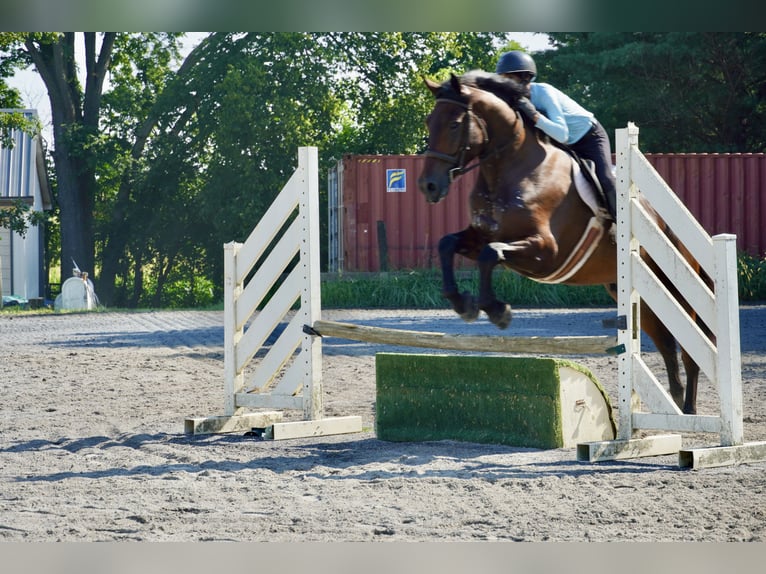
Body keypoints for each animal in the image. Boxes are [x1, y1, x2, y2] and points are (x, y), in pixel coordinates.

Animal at [417, 70, 709, 415]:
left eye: (454, 124)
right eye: (428, 121)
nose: (428, 186)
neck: (508, 169)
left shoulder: (547, 251)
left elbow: (491, 254)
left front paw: (497, 311)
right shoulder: (482, 234)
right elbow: (448, 244)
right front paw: (462, 303)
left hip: (675, 288)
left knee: (691, 346)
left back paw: (689, 409)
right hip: (634, 292)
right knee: (664, 342)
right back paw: (676, 406)